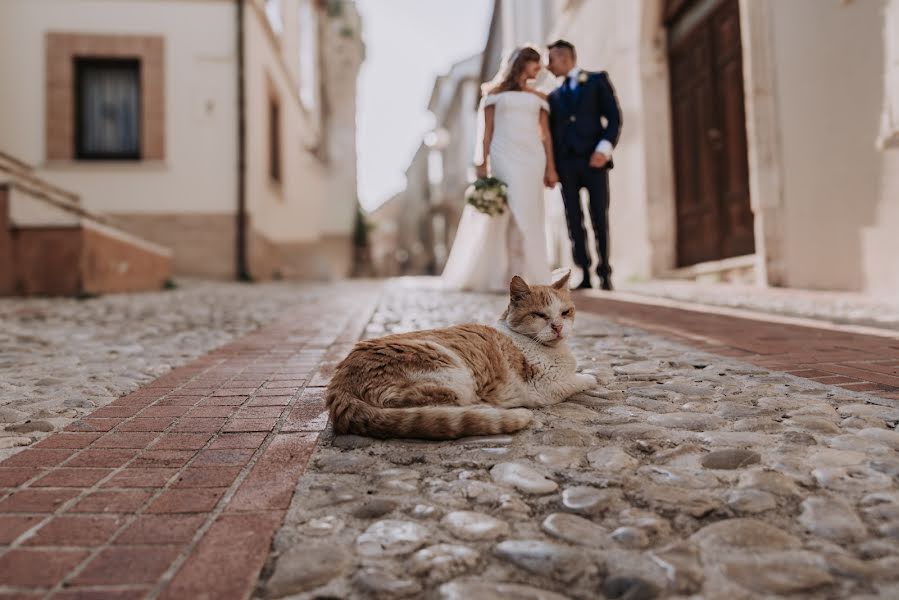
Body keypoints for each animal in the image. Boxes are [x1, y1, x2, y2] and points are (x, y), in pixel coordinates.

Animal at [326, 274, 596, 440]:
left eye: (565, 312)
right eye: (539, 315)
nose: (558, 327)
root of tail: (341, 386)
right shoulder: (544, 387)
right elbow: (579, 380)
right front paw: (591, 376)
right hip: (450, 371)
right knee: (438, 410)